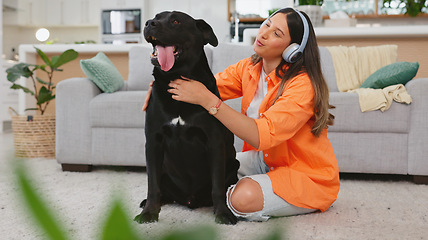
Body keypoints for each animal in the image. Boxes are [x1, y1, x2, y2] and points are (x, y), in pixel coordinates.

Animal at [135, 10, 241, 225]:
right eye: (155, 17)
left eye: (176, 21)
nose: (149, 23)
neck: (176, 79)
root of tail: (190, 200)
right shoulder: (153, 141)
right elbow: (153, 185)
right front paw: (149, 213)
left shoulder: (214, 142)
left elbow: (217, 186)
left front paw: (223, 213)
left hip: (233, 165)